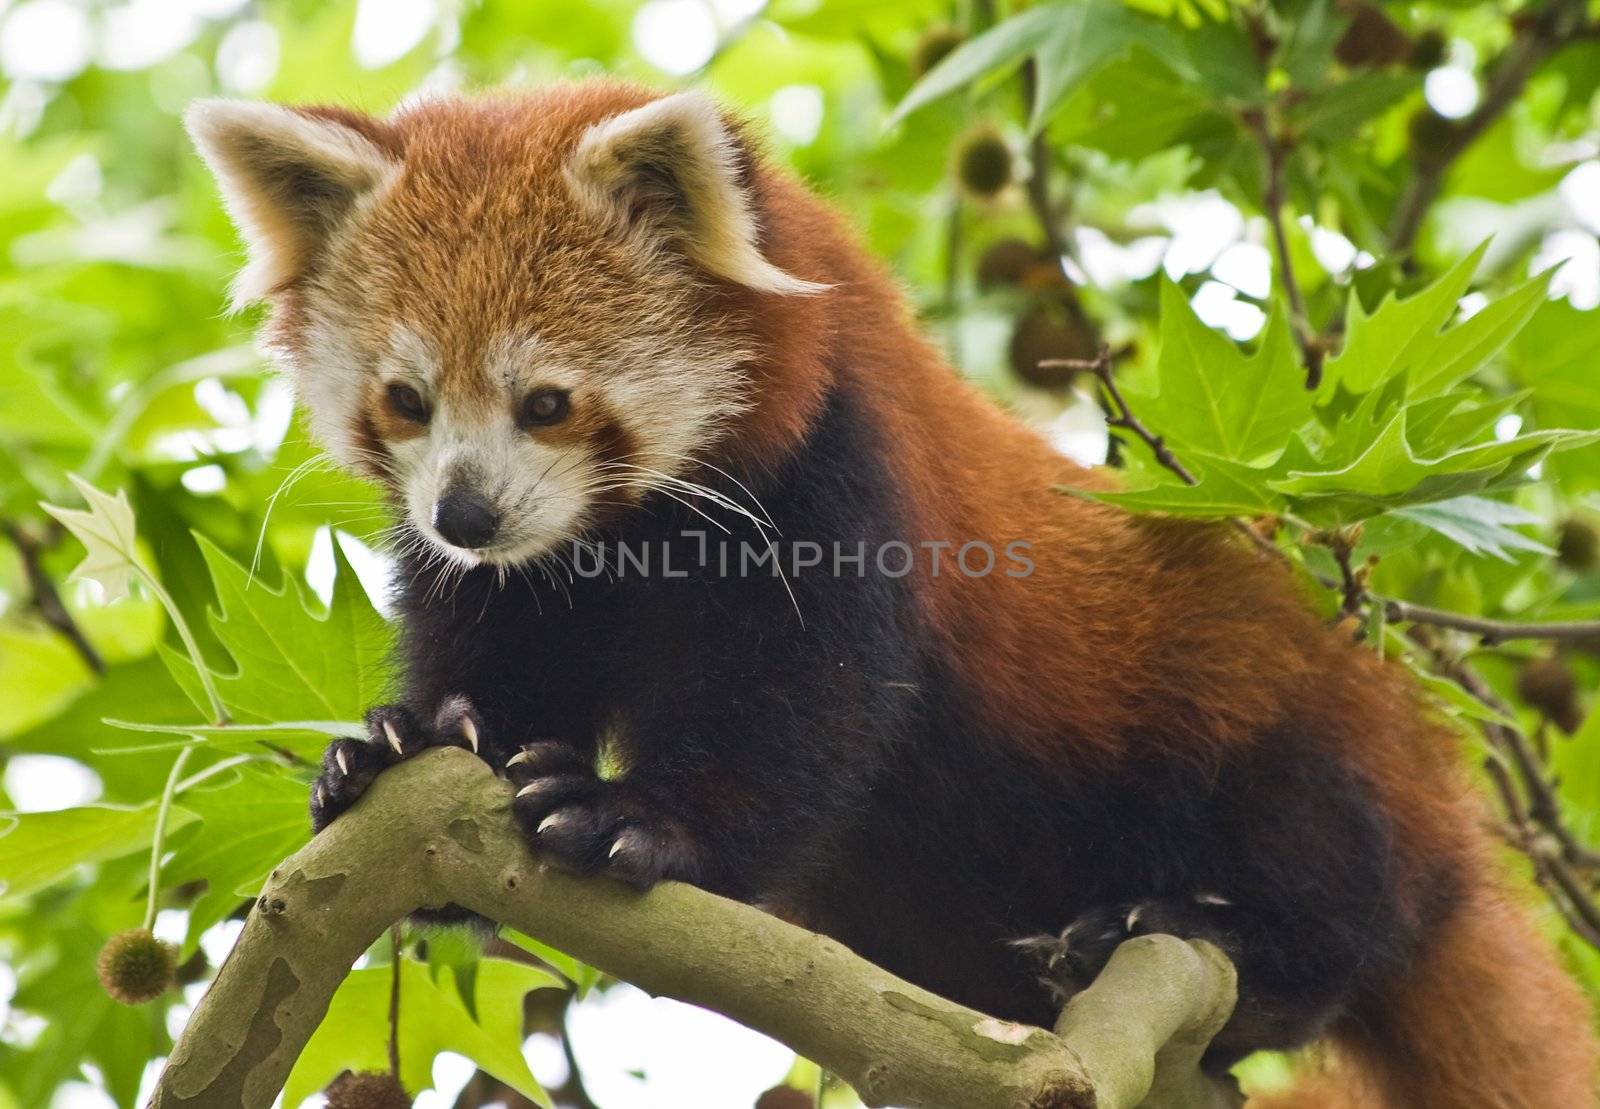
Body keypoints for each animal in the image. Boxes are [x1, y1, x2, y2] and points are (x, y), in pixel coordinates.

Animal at [190, 82, 1600, 1100]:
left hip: (1276, 709)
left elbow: (803, 702)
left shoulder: (840, 474)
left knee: (1328, 871)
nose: (466, 513)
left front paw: (633, 818)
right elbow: (489, 665)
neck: (622, 539)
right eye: (406, 399)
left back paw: (1198, 933)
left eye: (546, 401)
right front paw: (404, 742)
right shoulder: (524, 581)